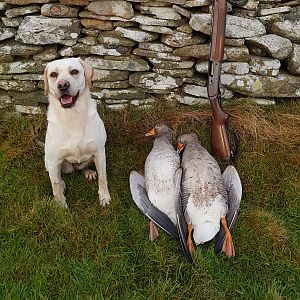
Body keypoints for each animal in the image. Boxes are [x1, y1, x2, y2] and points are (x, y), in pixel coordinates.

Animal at [44, 56, 110, 209]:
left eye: (74, 71)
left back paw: (88, 172)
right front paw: (60, 206)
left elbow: (103, 178)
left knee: (83, 166)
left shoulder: (99, 152)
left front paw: (104, 197)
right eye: (53, 74)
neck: (72, 116)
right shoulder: (53, 160)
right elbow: (55, 186)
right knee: (57, 176)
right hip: (48, 161)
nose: (63, 85)